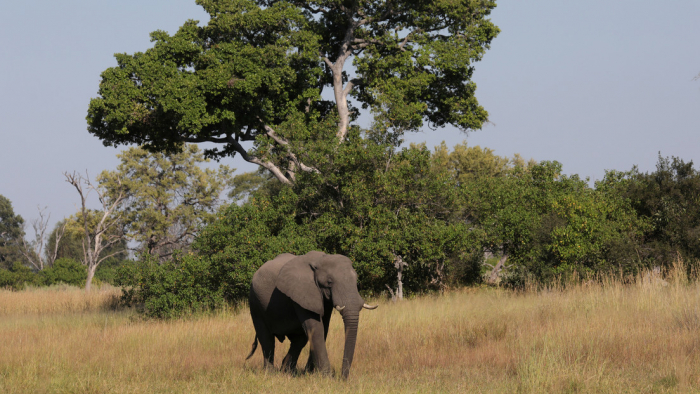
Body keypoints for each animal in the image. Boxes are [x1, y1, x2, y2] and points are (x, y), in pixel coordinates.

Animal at [246, 252, 378, 378]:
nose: (343, 378)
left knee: (299, 340)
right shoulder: (303, 292)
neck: (320, 259)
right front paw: (326, 377)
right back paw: (270, 373)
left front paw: (310, 374)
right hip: (255, 302)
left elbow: (323, 328)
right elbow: (316, 328)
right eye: (329, 282)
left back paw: (287, 371)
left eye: (356, 280)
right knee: (266, 339)